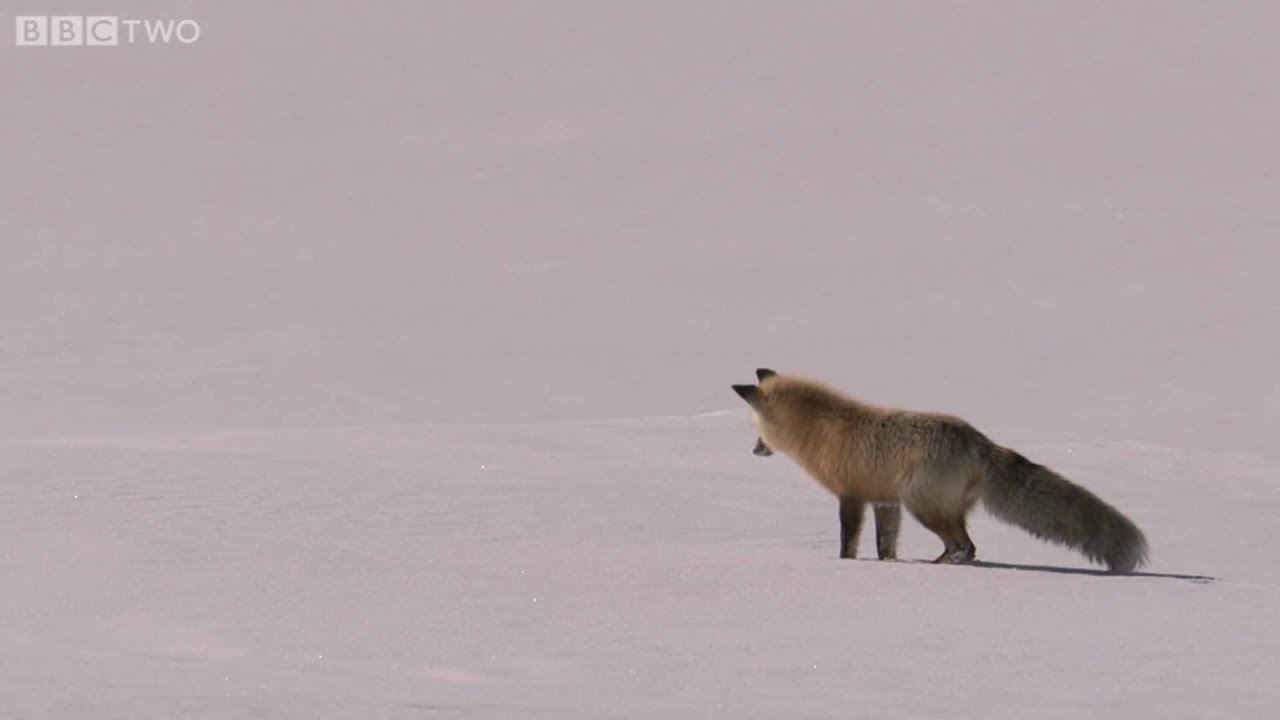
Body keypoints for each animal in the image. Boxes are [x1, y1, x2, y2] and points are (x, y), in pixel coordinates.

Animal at [732, 369, 1148, 573]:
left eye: (756, 429)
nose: (754, 450)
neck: (820, 429)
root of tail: (980, 442)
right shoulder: (885, 502)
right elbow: (885, 547)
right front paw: (889, 567)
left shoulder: (852, 496)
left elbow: (848, 543)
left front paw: (845, 566)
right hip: (929, 508)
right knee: (964, 546)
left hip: (925, 507)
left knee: (966, 547)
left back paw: (942, 569)